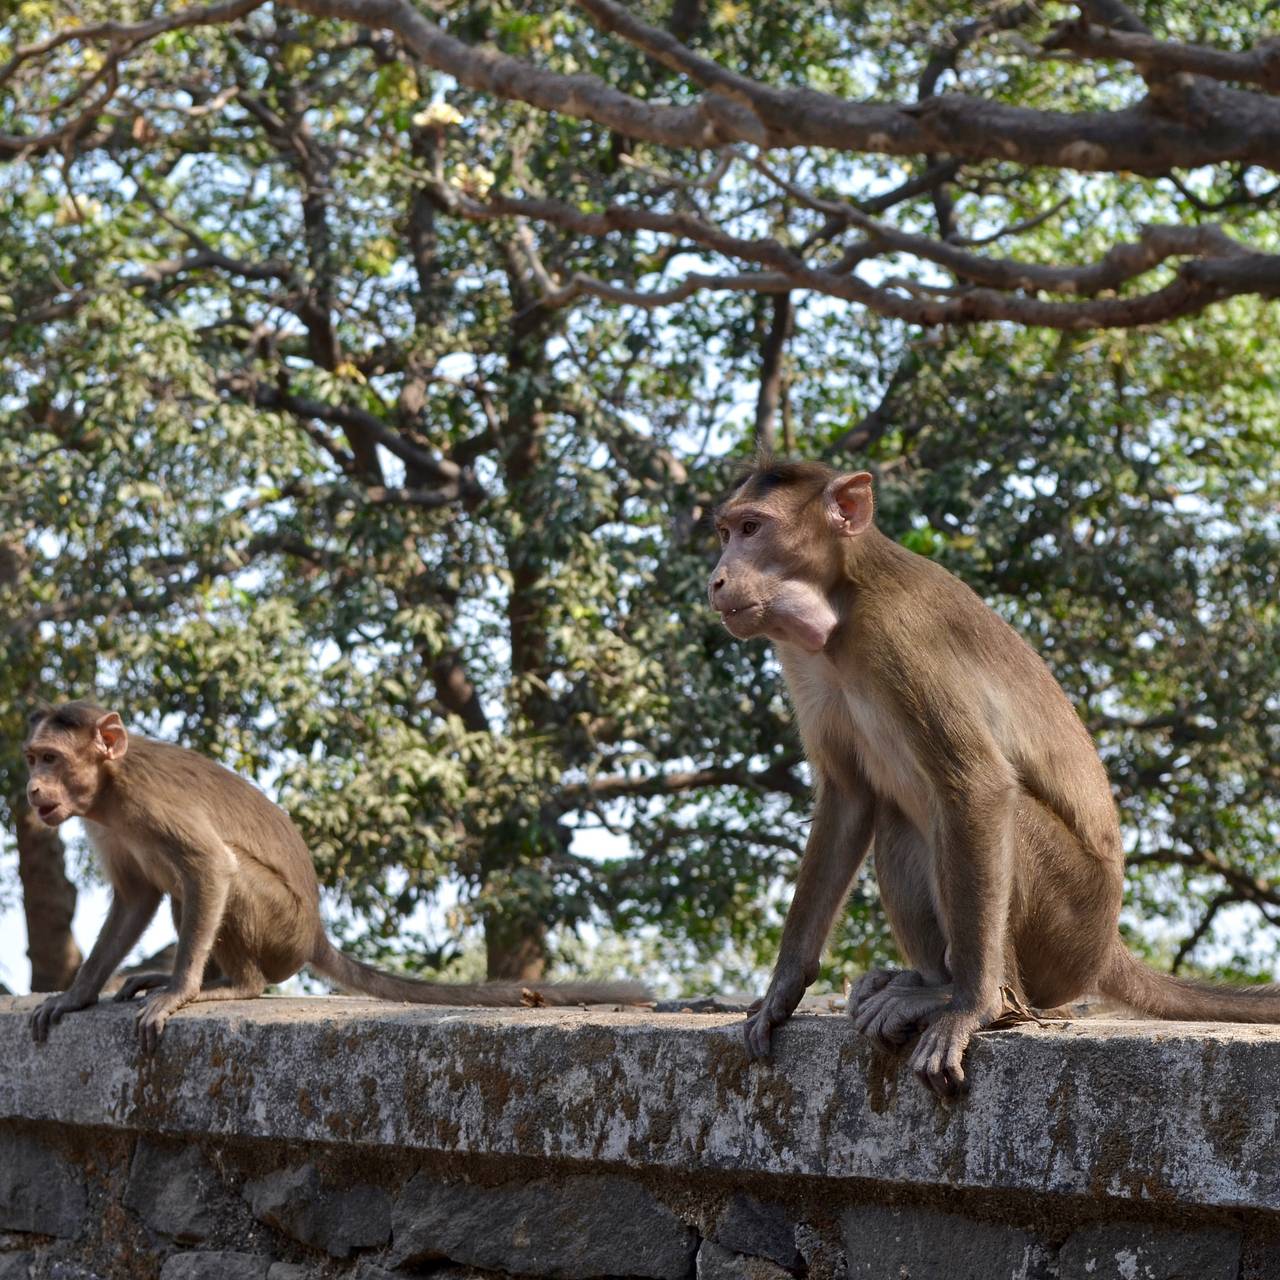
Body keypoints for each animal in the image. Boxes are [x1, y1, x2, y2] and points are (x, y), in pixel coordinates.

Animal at [22, 701, 650, 1049]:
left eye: (51, 759)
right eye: (33, 758)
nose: (31, 789)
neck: (110, 788)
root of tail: (316, 935)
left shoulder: (149, 802)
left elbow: (210, 865)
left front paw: (179, 991)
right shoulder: (104, 824)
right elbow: (134, 897)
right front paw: (76, 996)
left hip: (282, 930)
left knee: (223, 877)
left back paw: (234, 984)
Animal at [716, 460, 1280, 1100]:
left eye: (753, 528)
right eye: (726, 532)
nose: (717, 579)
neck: (840, 606)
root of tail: (1106, 947)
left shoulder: (900, 639)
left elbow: (978, 786)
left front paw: (972, 1009)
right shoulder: (801, 661)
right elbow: (849, 798)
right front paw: (780, 995)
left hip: (1070, 925)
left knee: (979, 818)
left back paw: (964, 996)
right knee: (899, 819)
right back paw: (921, 979)